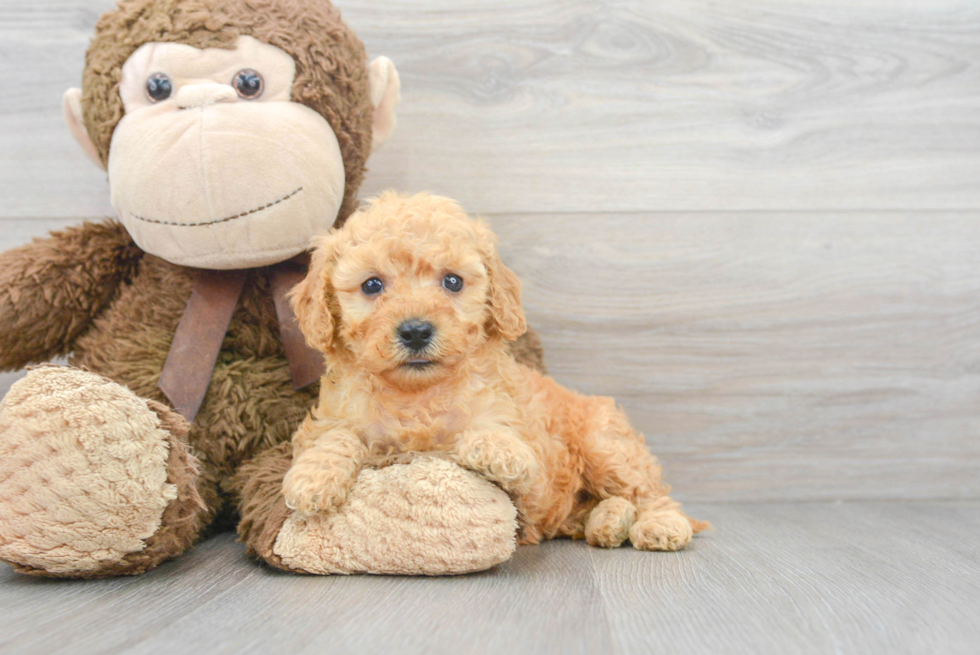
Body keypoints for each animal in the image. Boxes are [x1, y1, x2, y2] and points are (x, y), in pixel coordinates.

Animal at [284, 192, 704, 552]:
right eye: (372, 285)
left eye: (453, 281)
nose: (416, 331)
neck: (419, 393)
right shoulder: (340, 418)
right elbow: (337, 437)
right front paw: (312, 477)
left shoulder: (534, 483)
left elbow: (500, 437)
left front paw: (496, 446)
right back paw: (609, 522)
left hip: (606, 446)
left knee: (649, 492)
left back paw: (659, 525)